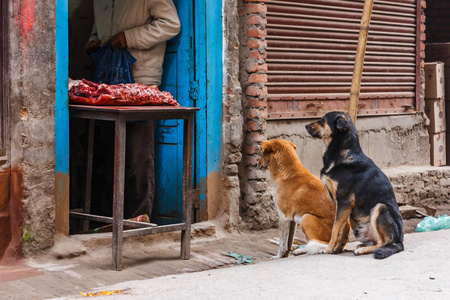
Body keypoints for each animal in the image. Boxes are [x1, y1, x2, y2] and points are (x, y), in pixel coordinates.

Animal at [306, 111, 404, 258]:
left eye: (323, 119)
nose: (305, 125)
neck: (342, 152)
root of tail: (399, 242)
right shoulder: (341, 205)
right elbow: (341, 229)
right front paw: (337, 248)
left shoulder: (344, 202)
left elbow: (335, 229)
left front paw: (328, 249)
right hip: (356, 223)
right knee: (375, 241)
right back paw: (361, 245)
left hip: (381, 207)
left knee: (383, 242)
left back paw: (363, 249)